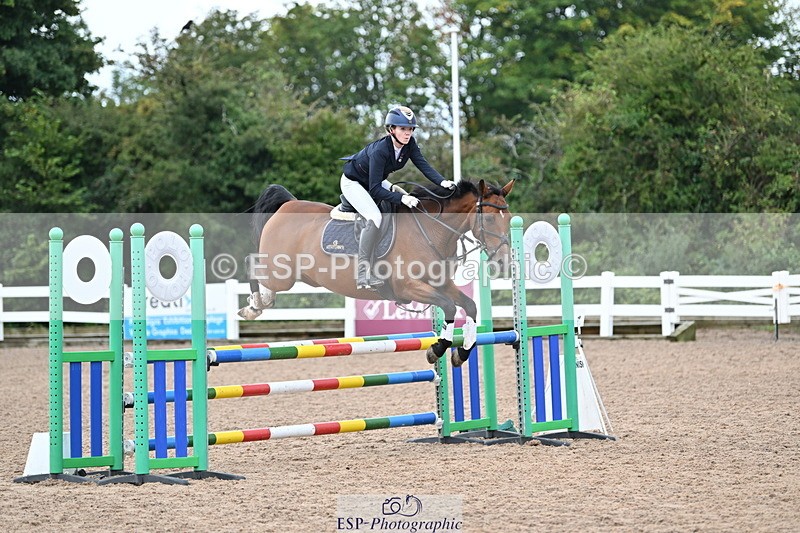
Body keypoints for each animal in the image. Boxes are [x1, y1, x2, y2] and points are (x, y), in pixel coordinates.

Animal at [238, 179, 515, 367]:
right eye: (490, 220)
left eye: (509, 216)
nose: (503, 261)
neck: (432, 229)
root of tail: (287, 204)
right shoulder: (409, 287)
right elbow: (448, 307)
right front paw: (436, 349)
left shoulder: (441, 284)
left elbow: (469, 306)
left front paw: (462, 352)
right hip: (280, 273)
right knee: (253, 268)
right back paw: (253, 307)